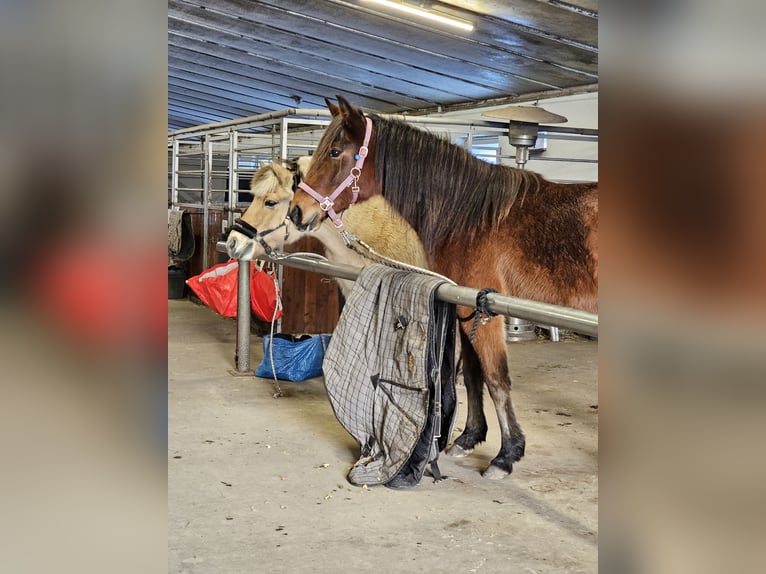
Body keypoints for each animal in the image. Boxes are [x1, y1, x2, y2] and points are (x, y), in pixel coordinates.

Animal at [290, 95, 600, 482]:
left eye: (334, 152)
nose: (296, 212)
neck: (471, 218)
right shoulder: (469, 308)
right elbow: (472, 375)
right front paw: (469, 438)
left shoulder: (484, 312)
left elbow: (496, 379)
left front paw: (506, 456)